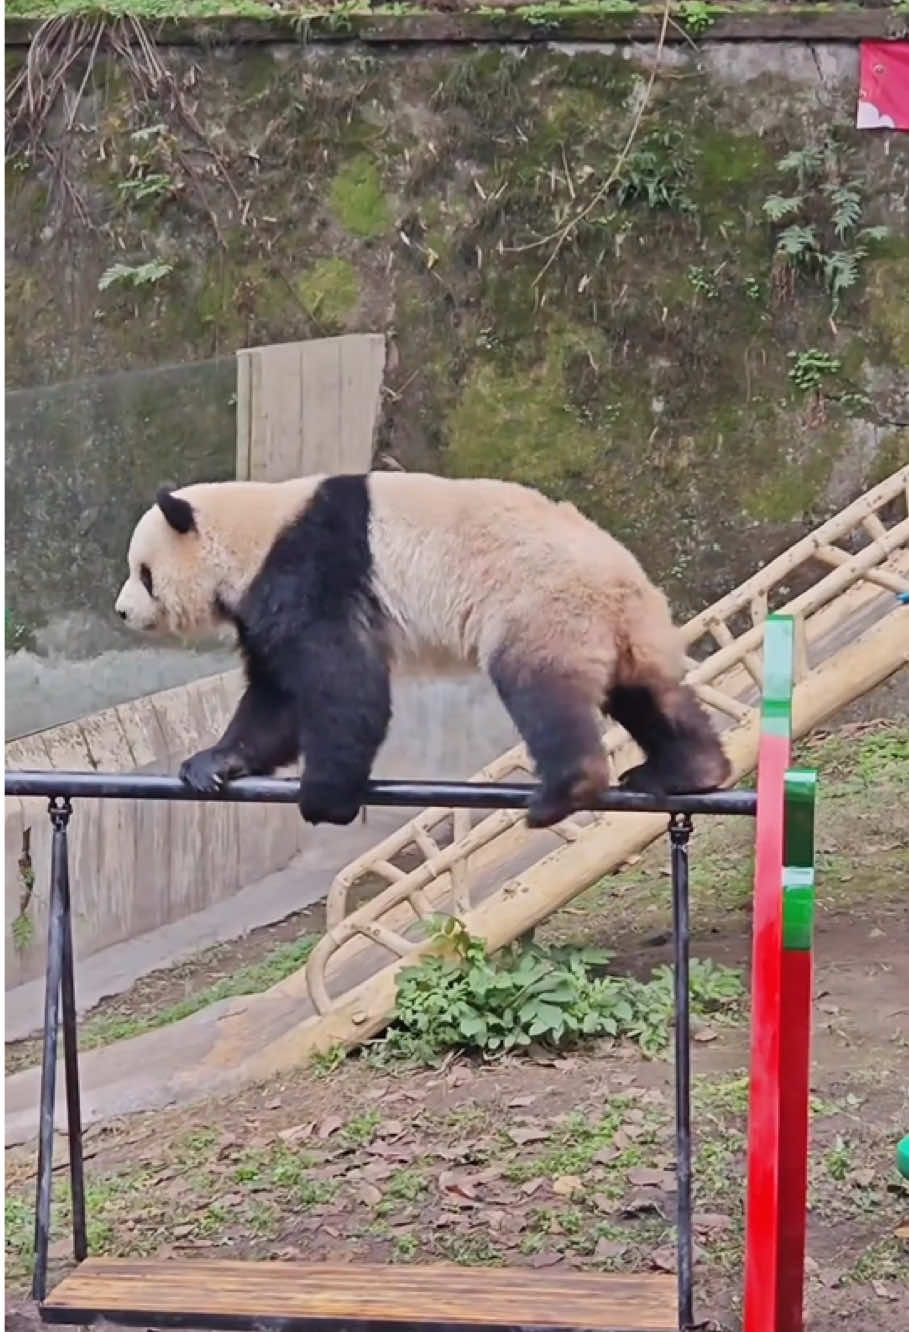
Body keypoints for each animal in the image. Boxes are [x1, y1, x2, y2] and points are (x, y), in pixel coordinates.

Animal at [114, 472, 730, 829]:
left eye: (143, 572)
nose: (121, 612)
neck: (256, 527)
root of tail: (630, 583)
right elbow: (277, 697)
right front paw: (212, 763)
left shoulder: (311, 569)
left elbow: (341, 684)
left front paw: (325, 797)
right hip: (620, 628)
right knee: (649, 694)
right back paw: (691, 770)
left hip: (542, 604)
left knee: (540, 690)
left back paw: (563, 790)